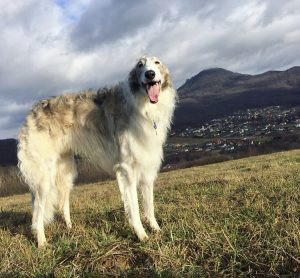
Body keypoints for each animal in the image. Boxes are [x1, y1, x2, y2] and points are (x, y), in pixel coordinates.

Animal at [17, 55, 177, 247]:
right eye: (140, 65)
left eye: (157, 63)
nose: (150, 74)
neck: (143, 106)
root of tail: (32, 113)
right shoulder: (127, 170)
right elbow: (135, 209)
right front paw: (142, 235)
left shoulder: (147, 168)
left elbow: (149, 207)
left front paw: (156, 230)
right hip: (44, 177)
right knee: (37, 213)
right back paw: (42, 242)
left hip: (66, 171)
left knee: (63, 204)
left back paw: (70, 228)